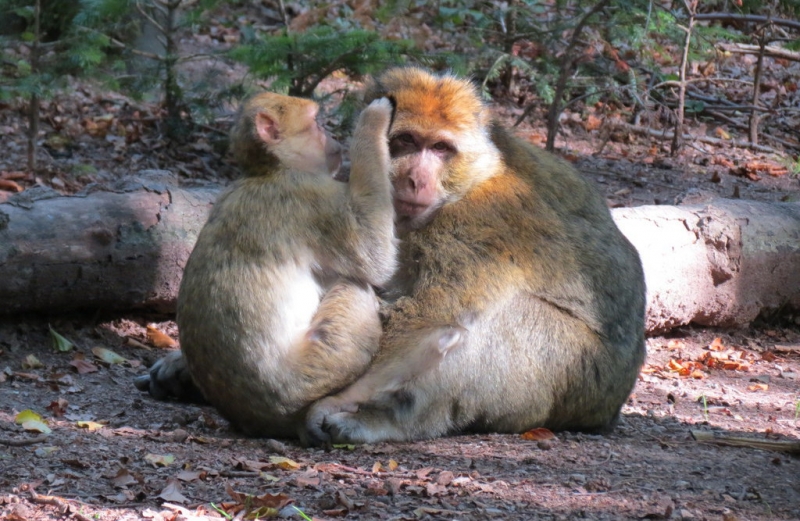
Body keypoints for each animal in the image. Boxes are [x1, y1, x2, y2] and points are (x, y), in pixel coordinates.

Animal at [139, 91, 400, 436]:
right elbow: (376, 256)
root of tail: (269, 419)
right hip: (321, 364)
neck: (270, 171)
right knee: (354, 286)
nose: (332, 136)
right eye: (316, 122)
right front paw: (374, 118)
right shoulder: (313, 198)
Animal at [304, 66, 648, 442]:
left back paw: (386, 420)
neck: (475, 179)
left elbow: (429, 320)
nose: (415, 179)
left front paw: (334, 400)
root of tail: (612, 407)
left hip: (580, 376)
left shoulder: (478, 224)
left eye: (440, 148)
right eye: (406, 141)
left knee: (501, 321)